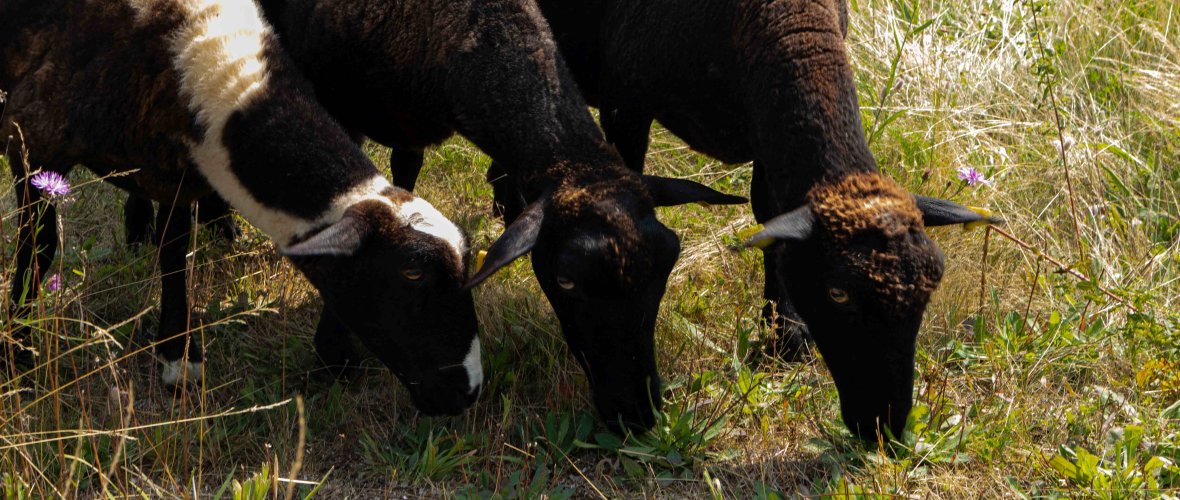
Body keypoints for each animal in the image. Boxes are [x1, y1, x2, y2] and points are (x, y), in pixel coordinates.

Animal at [1, 0, 483, 415]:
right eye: (411, 275)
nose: (470, 390)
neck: (208, 60)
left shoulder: (175, 173)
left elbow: (174, 252)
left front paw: (177, 354)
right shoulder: (33, 141)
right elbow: (38, 249)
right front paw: (18, 349)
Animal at [535, 0, 995, 438]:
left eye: (931, 289)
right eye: (838, 293)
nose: (885, 427)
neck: (782, 19)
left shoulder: (765, 129)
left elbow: (771, 218)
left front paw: (786, 333)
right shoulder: (625, 102)